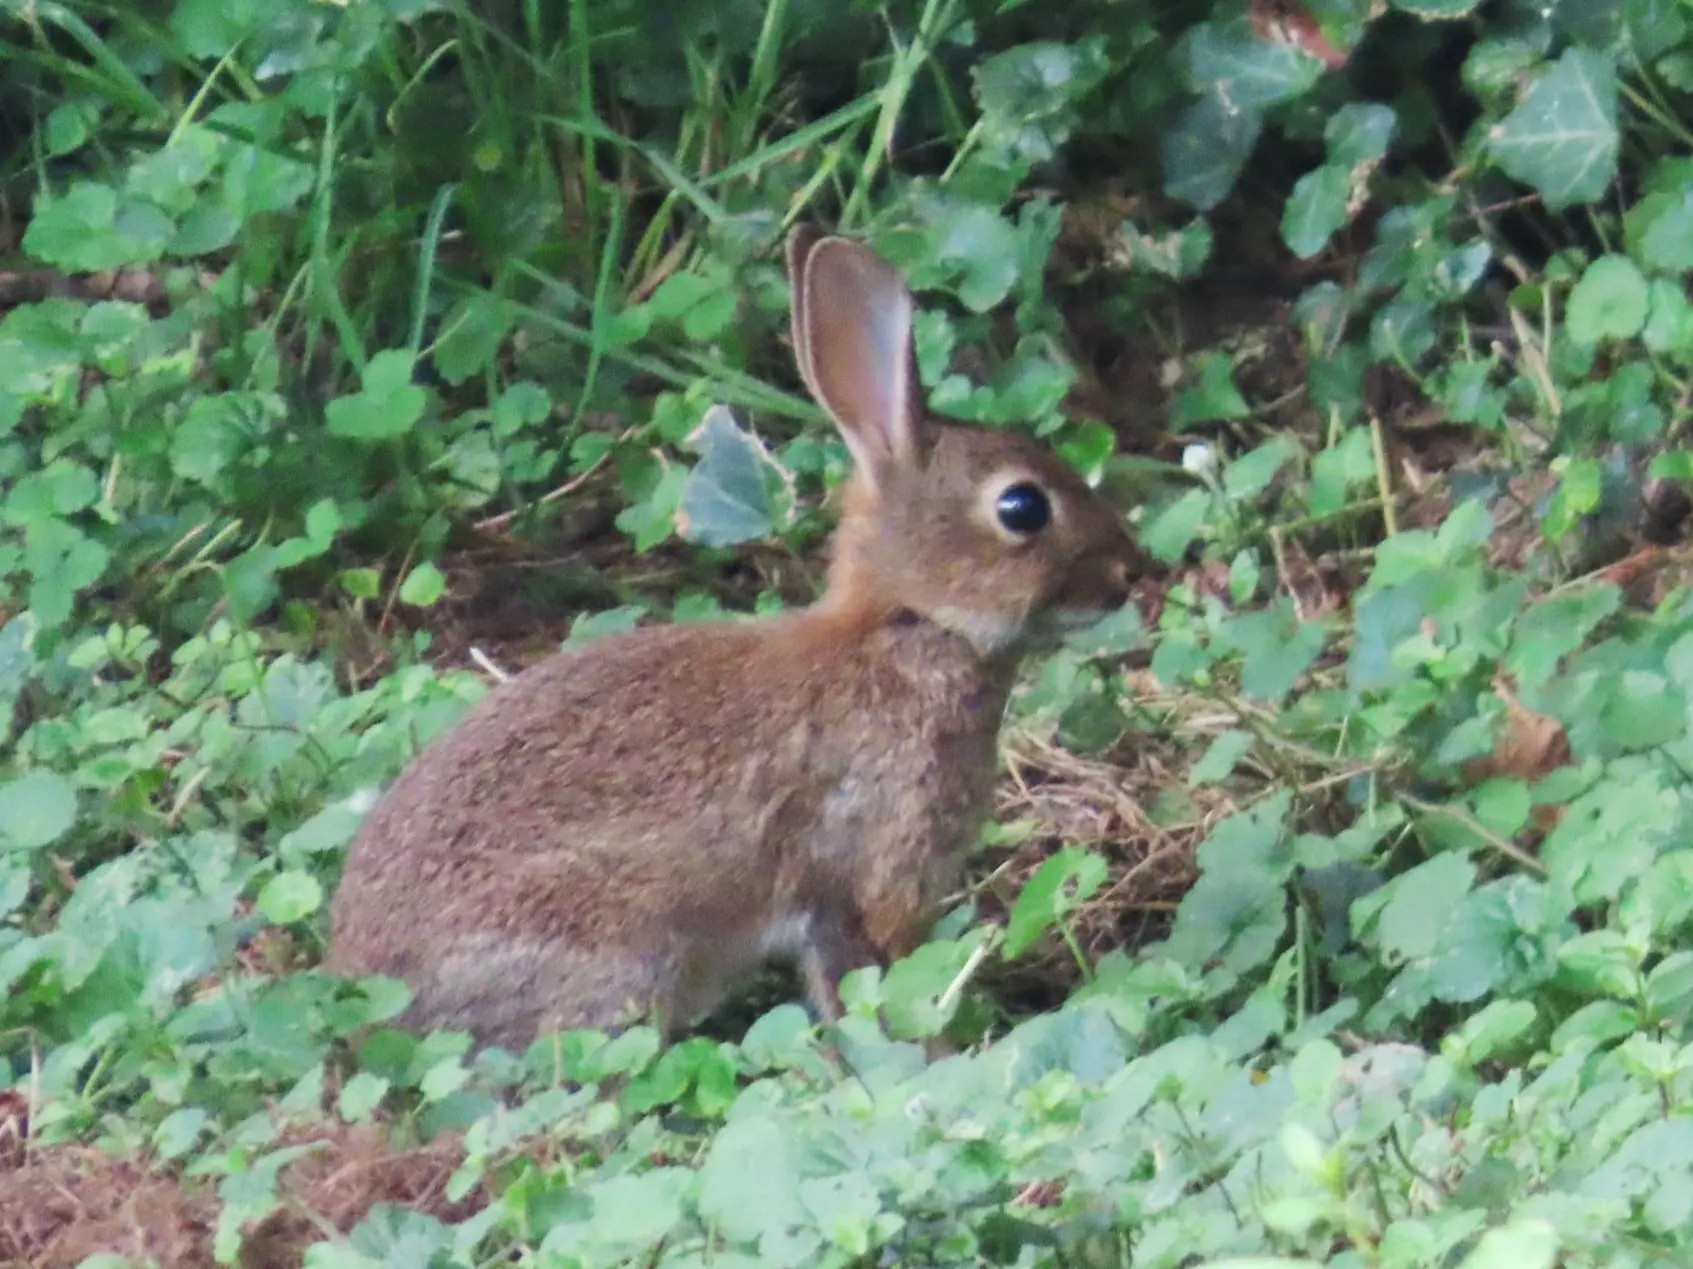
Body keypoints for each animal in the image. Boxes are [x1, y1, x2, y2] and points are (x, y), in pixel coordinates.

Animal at [324, 226, 1151, 1053]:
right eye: (1021, 507)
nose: (1129, 571)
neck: (908, 623)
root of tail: (367, 1003)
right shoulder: (872, 866)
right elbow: (870, 981)